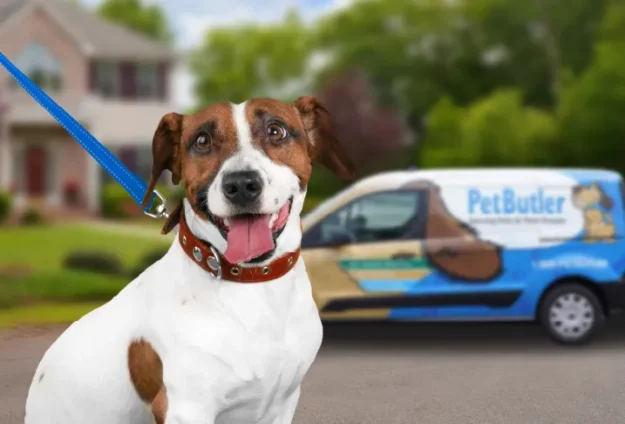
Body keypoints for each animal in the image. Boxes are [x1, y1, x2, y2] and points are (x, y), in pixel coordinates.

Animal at [24, 97, 354, 424]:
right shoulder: (185, 407)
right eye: (202, 141)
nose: (241, 185)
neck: (250, 284)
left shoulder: (281, 405)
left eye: (276, 131)